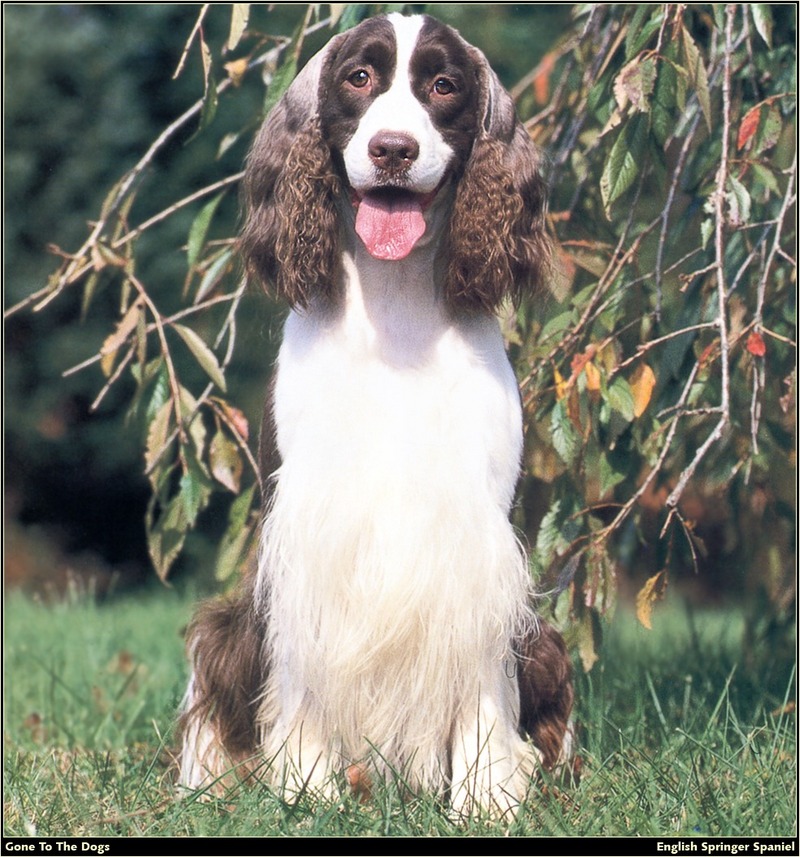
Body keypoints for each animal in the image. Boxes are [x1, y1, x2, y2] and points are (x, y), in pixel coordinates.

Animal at [178, 13, 572, 816]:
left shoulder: (477, 538)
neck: (396, 310)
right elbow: (301, 677)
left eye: (444, 85)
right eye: (358, 77)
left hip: (543, 642)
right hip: (224, 633)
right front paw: (306, 792)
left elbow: (483, 682)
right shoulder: (305, 533)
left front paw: (485, 801)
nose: (394, 149)